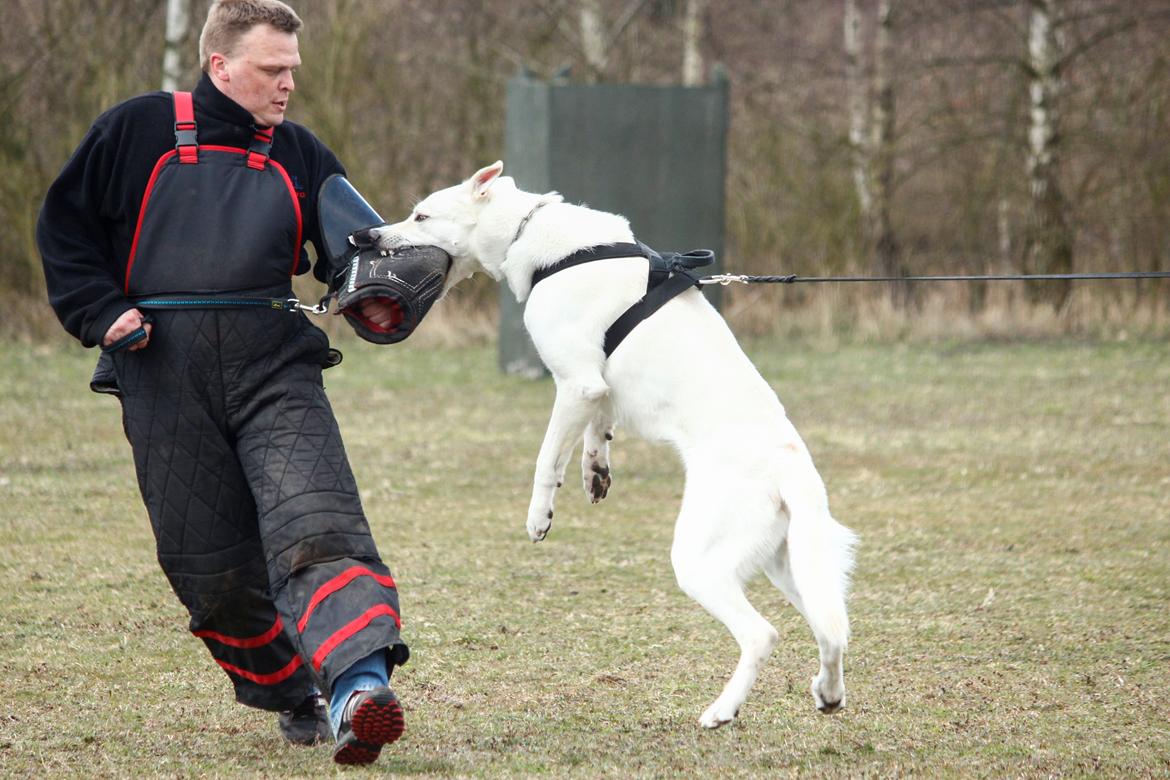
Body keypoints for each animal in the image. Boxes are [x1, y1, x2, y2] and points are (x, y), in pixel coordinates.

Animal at [369, 161, 856, 729]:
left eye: (421, 216)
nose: (367, 236)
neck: (529, 232)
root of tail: (788, 467)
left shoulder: (575, 385)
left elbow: (546, 460)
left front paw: (539, 517)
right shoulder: (597, 390)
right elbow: (595, 436)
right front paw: (595, 473)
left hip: (700, 562)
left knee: (763, 634)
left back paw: (721, 710)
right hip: (788, 565)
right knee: (832, 631)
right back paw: (828, 694)